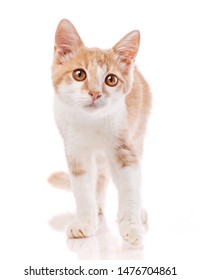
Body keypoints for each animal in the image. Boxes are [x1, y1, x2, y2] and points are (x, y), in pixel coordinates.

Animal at [48, 19, 152, 245]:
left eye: (111, 79)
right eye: (79, 74)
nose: (95, 93)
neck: (91, 122)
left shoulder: (123, 146)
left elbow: (130, 186)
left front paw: (131, 224)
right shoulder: (75, 149)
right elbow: (83, 187)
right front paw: (85, 221)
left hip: (138, 132)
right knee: (101, 177)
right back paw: (97, 206)